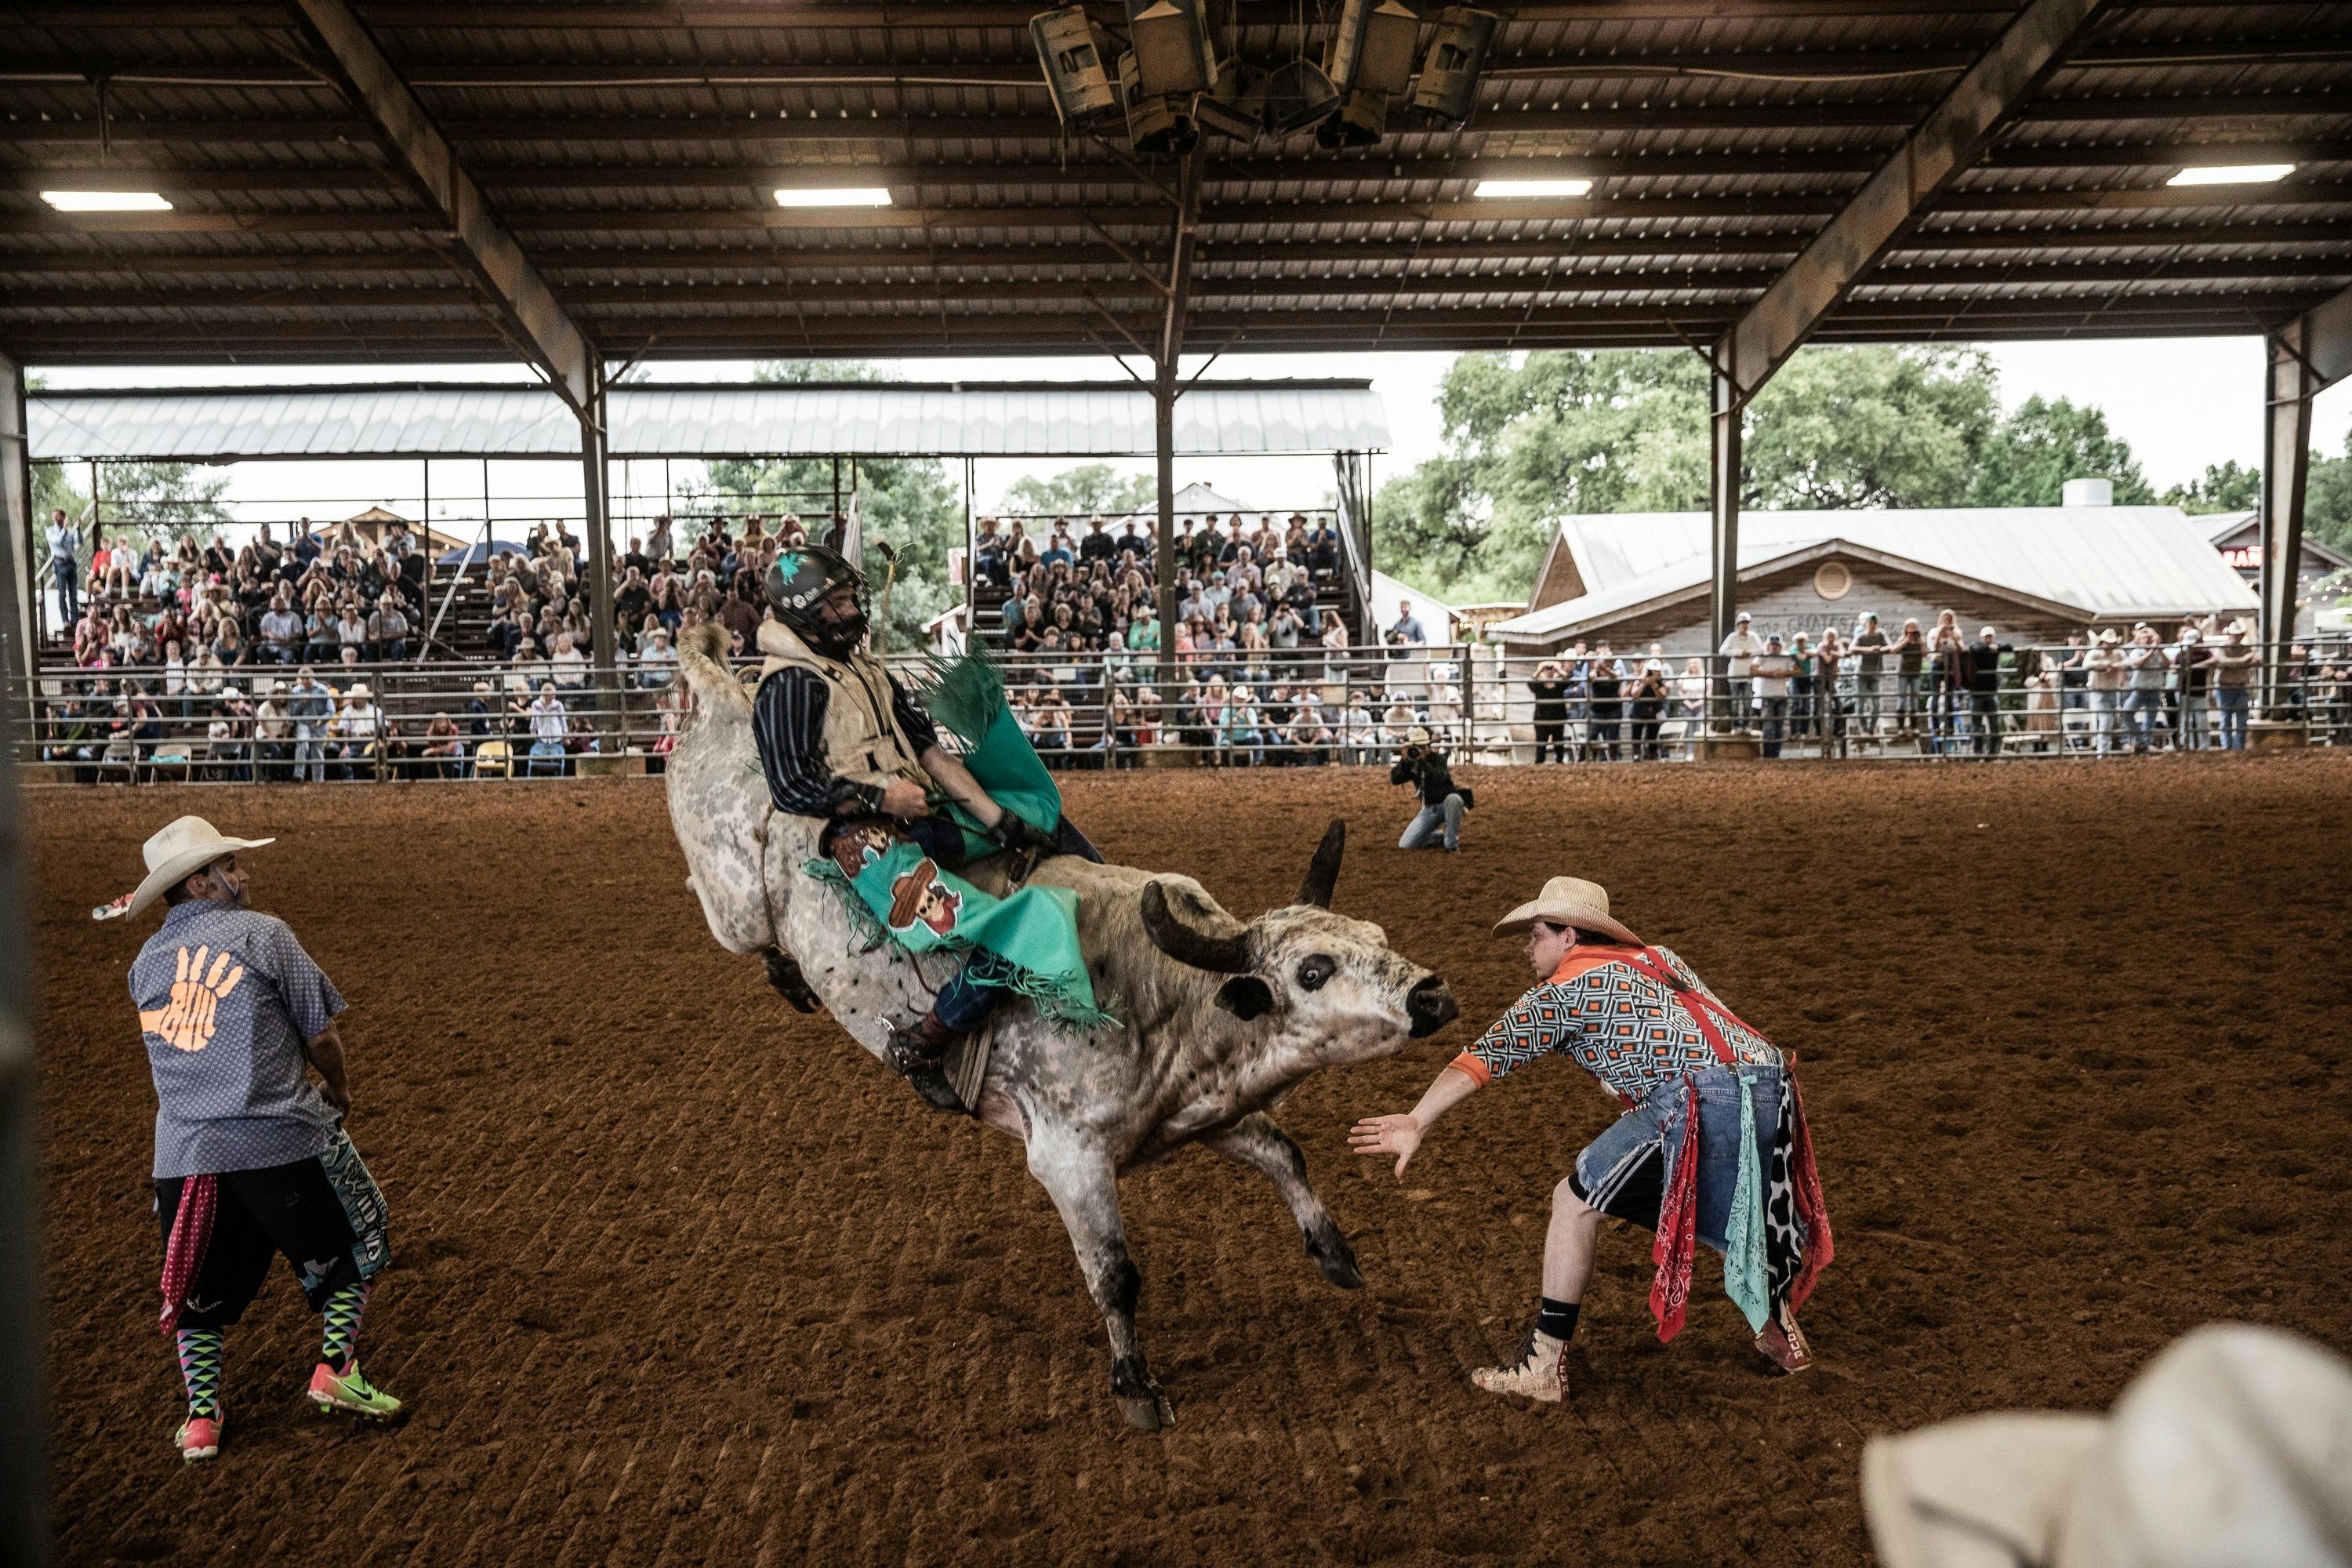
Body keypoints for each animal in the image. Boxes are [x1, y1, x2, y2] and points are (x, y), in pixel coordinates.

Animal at [665, 625, 1458, 1428]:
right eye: (1314, 971)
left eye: (1376, 934)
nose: (1431, 996)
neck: (1159, 998)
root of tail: (730, 695)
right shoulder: (1069, 1158)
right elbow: (1115, 1273)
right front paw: (1135, 1385)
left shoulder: (1204, 1111)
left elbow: (1284, 1155)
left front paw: (1337, 1256)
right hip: (736, 897)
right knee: (727, 909)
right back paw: (791, 972)